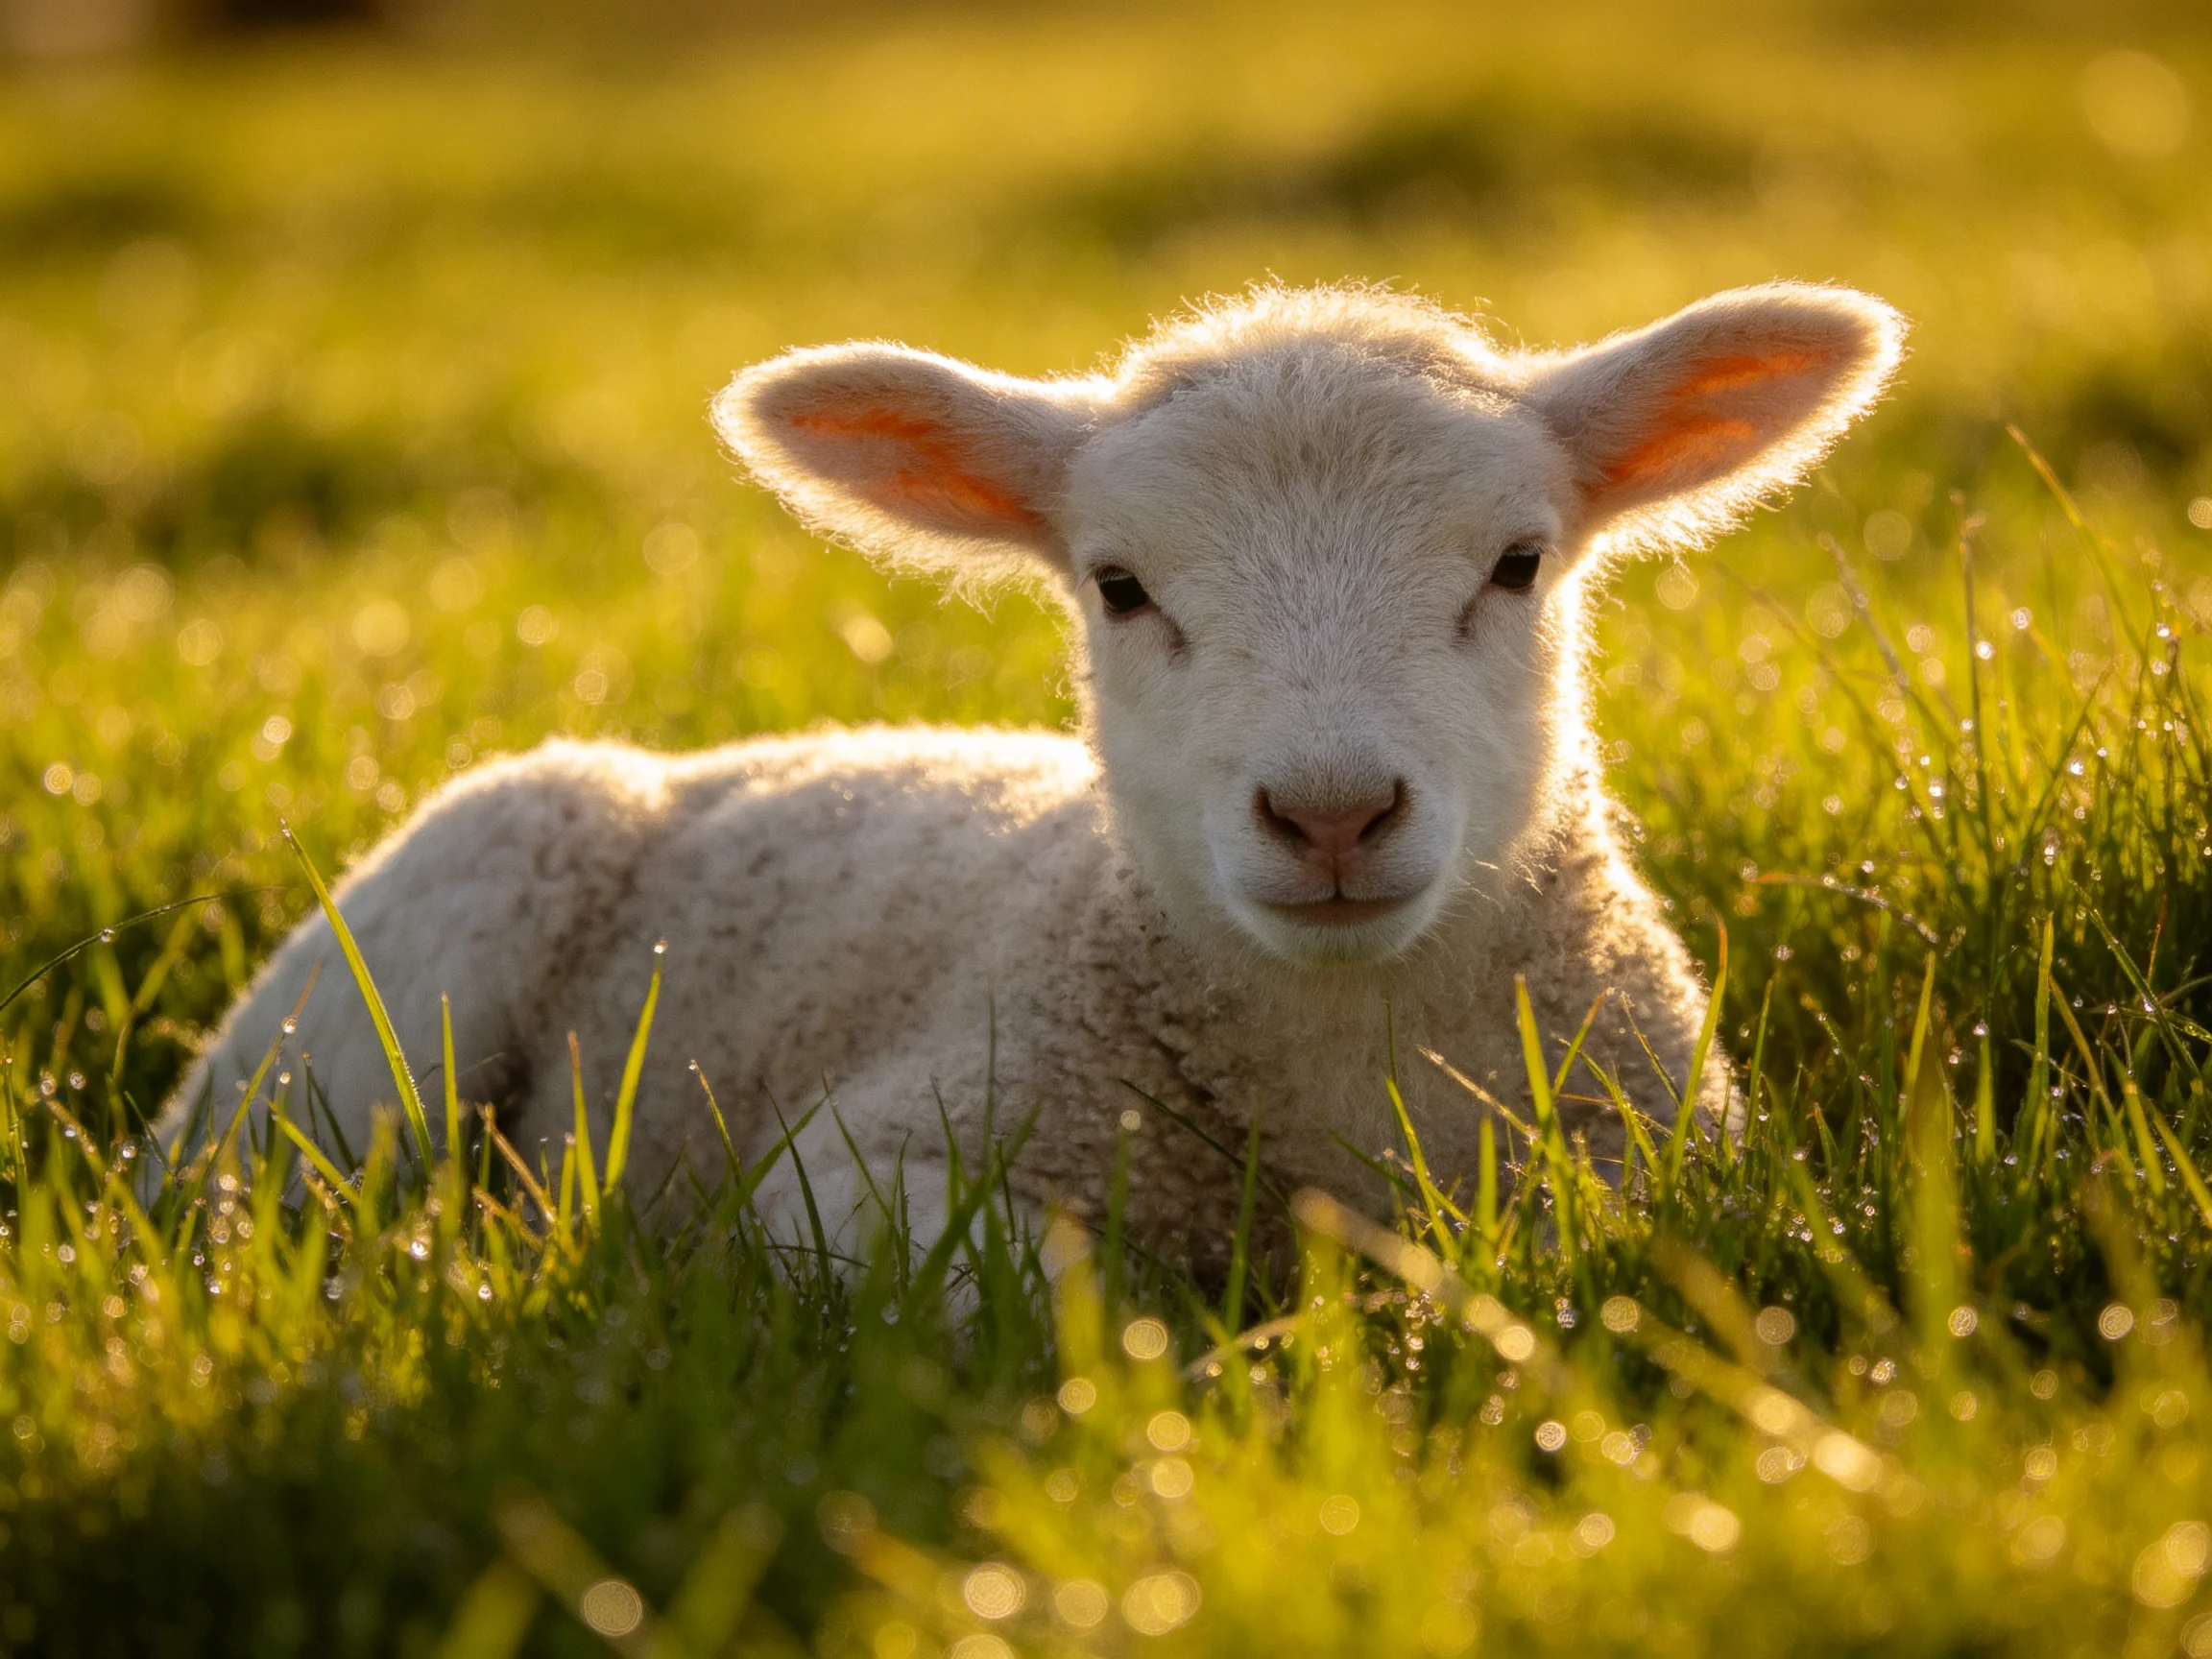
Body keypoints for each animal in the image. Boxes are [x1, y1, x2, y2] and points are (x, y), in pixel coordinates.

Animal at [155, 280, 1903, 1267]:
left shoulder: (1663, 1154)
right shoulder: (868, 1156)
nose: (1330, 812)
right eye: (1119, 587)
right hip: (361, 1030)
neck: (1348, 1058)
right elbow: (1064, 1287)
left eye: (1518, 563)